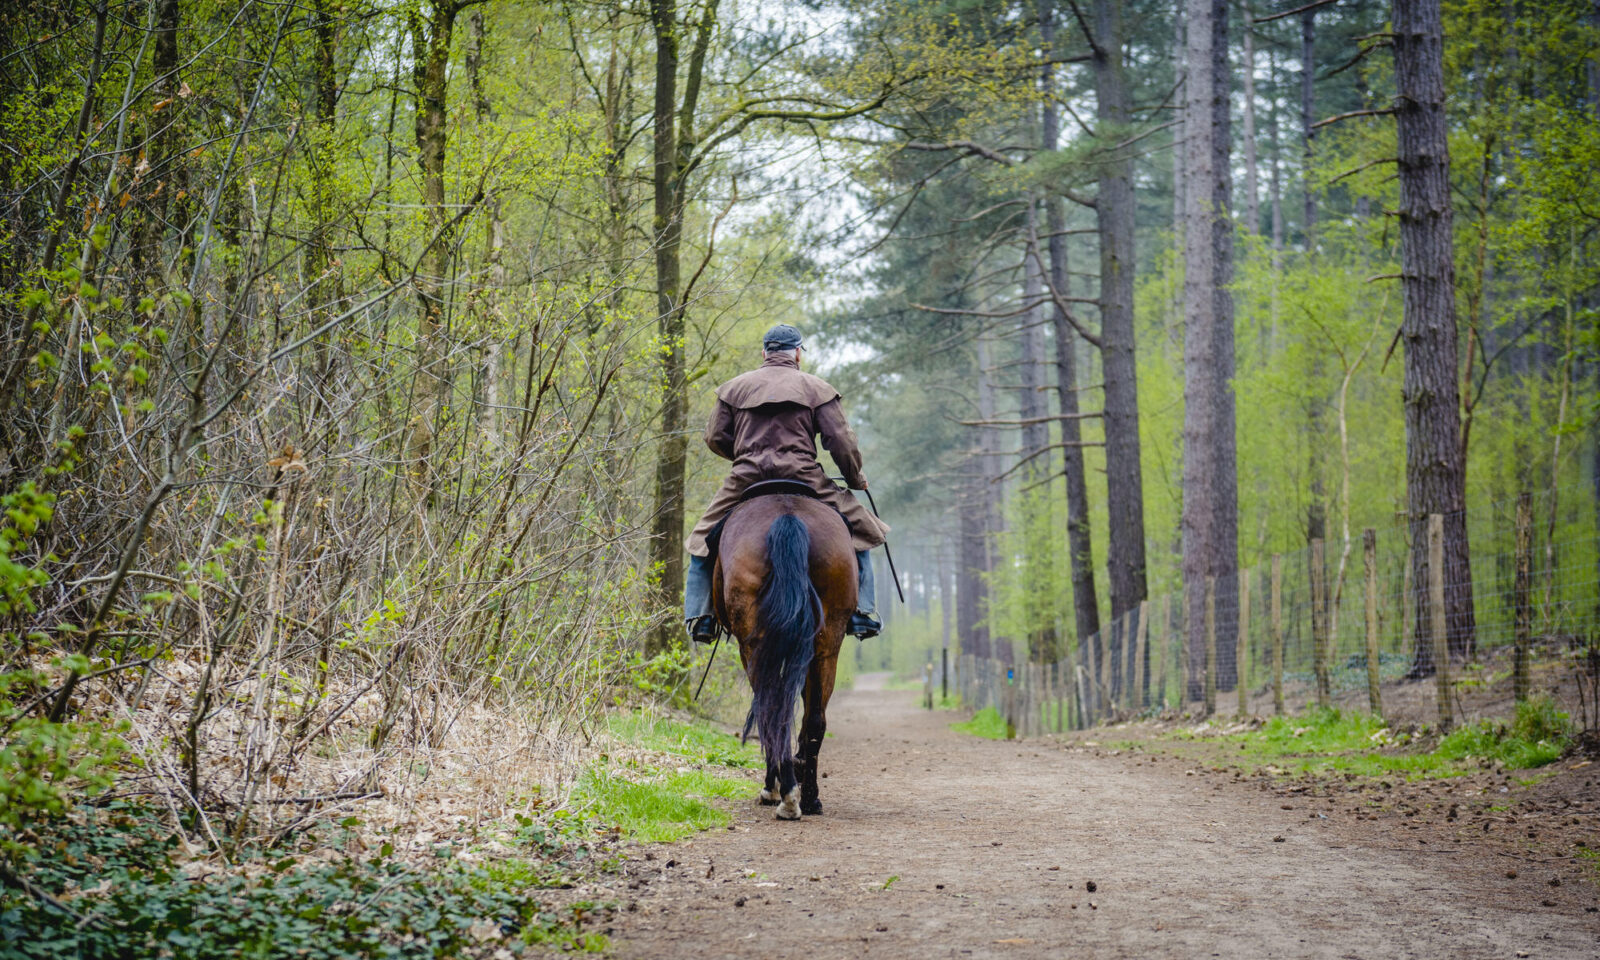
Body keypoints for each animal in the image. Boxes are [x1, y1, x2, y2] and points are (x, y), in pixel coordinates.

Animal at [713, 496, 857, 816]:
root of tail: (787, 516)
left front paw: (775, 784)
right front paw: (799, 766)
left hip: (755, 647)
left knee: (771, 708)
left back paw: (786, 795)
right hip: (827, 644)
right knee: (815, 718)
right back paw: (809, 797)